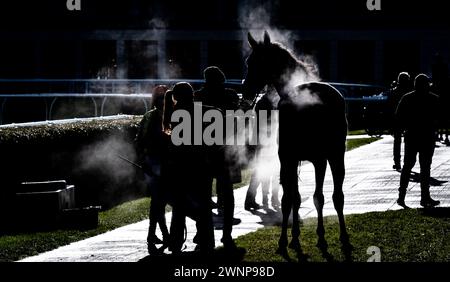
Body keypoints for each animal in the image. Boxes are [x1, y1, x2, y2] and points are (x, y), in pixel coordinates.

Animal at [243, 31, 352, 258]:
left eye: (259, 61)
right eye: (249, 61)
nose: (246, 92)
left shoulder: (294, 159)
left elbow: (294, 199)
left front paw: (287, 240)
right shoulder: (293, 159)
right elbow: (294, 198)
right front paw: (293, 239)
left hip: (334, 156)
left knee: (336, 196)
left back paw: (342, 237)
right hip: (325, 158)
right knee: (321, 197)